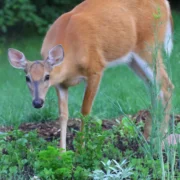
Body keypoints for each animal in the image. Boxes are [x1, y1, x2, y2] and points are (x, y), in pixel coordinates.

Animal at [8, 0, 173, 150]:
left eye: (47, 76)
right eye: (27, 78)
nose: (37, 102)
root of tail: (165, 4)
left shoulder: (96, 69)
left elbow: (85, 111)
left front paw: (81, 150)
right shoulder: (60, 84)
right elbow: (63, 115)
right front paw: (62, 152)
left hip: (149, 46)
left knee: (166, 86)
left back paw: (161, 139)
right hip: (132, 59)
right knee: (154, 88)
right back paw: (148, 137)